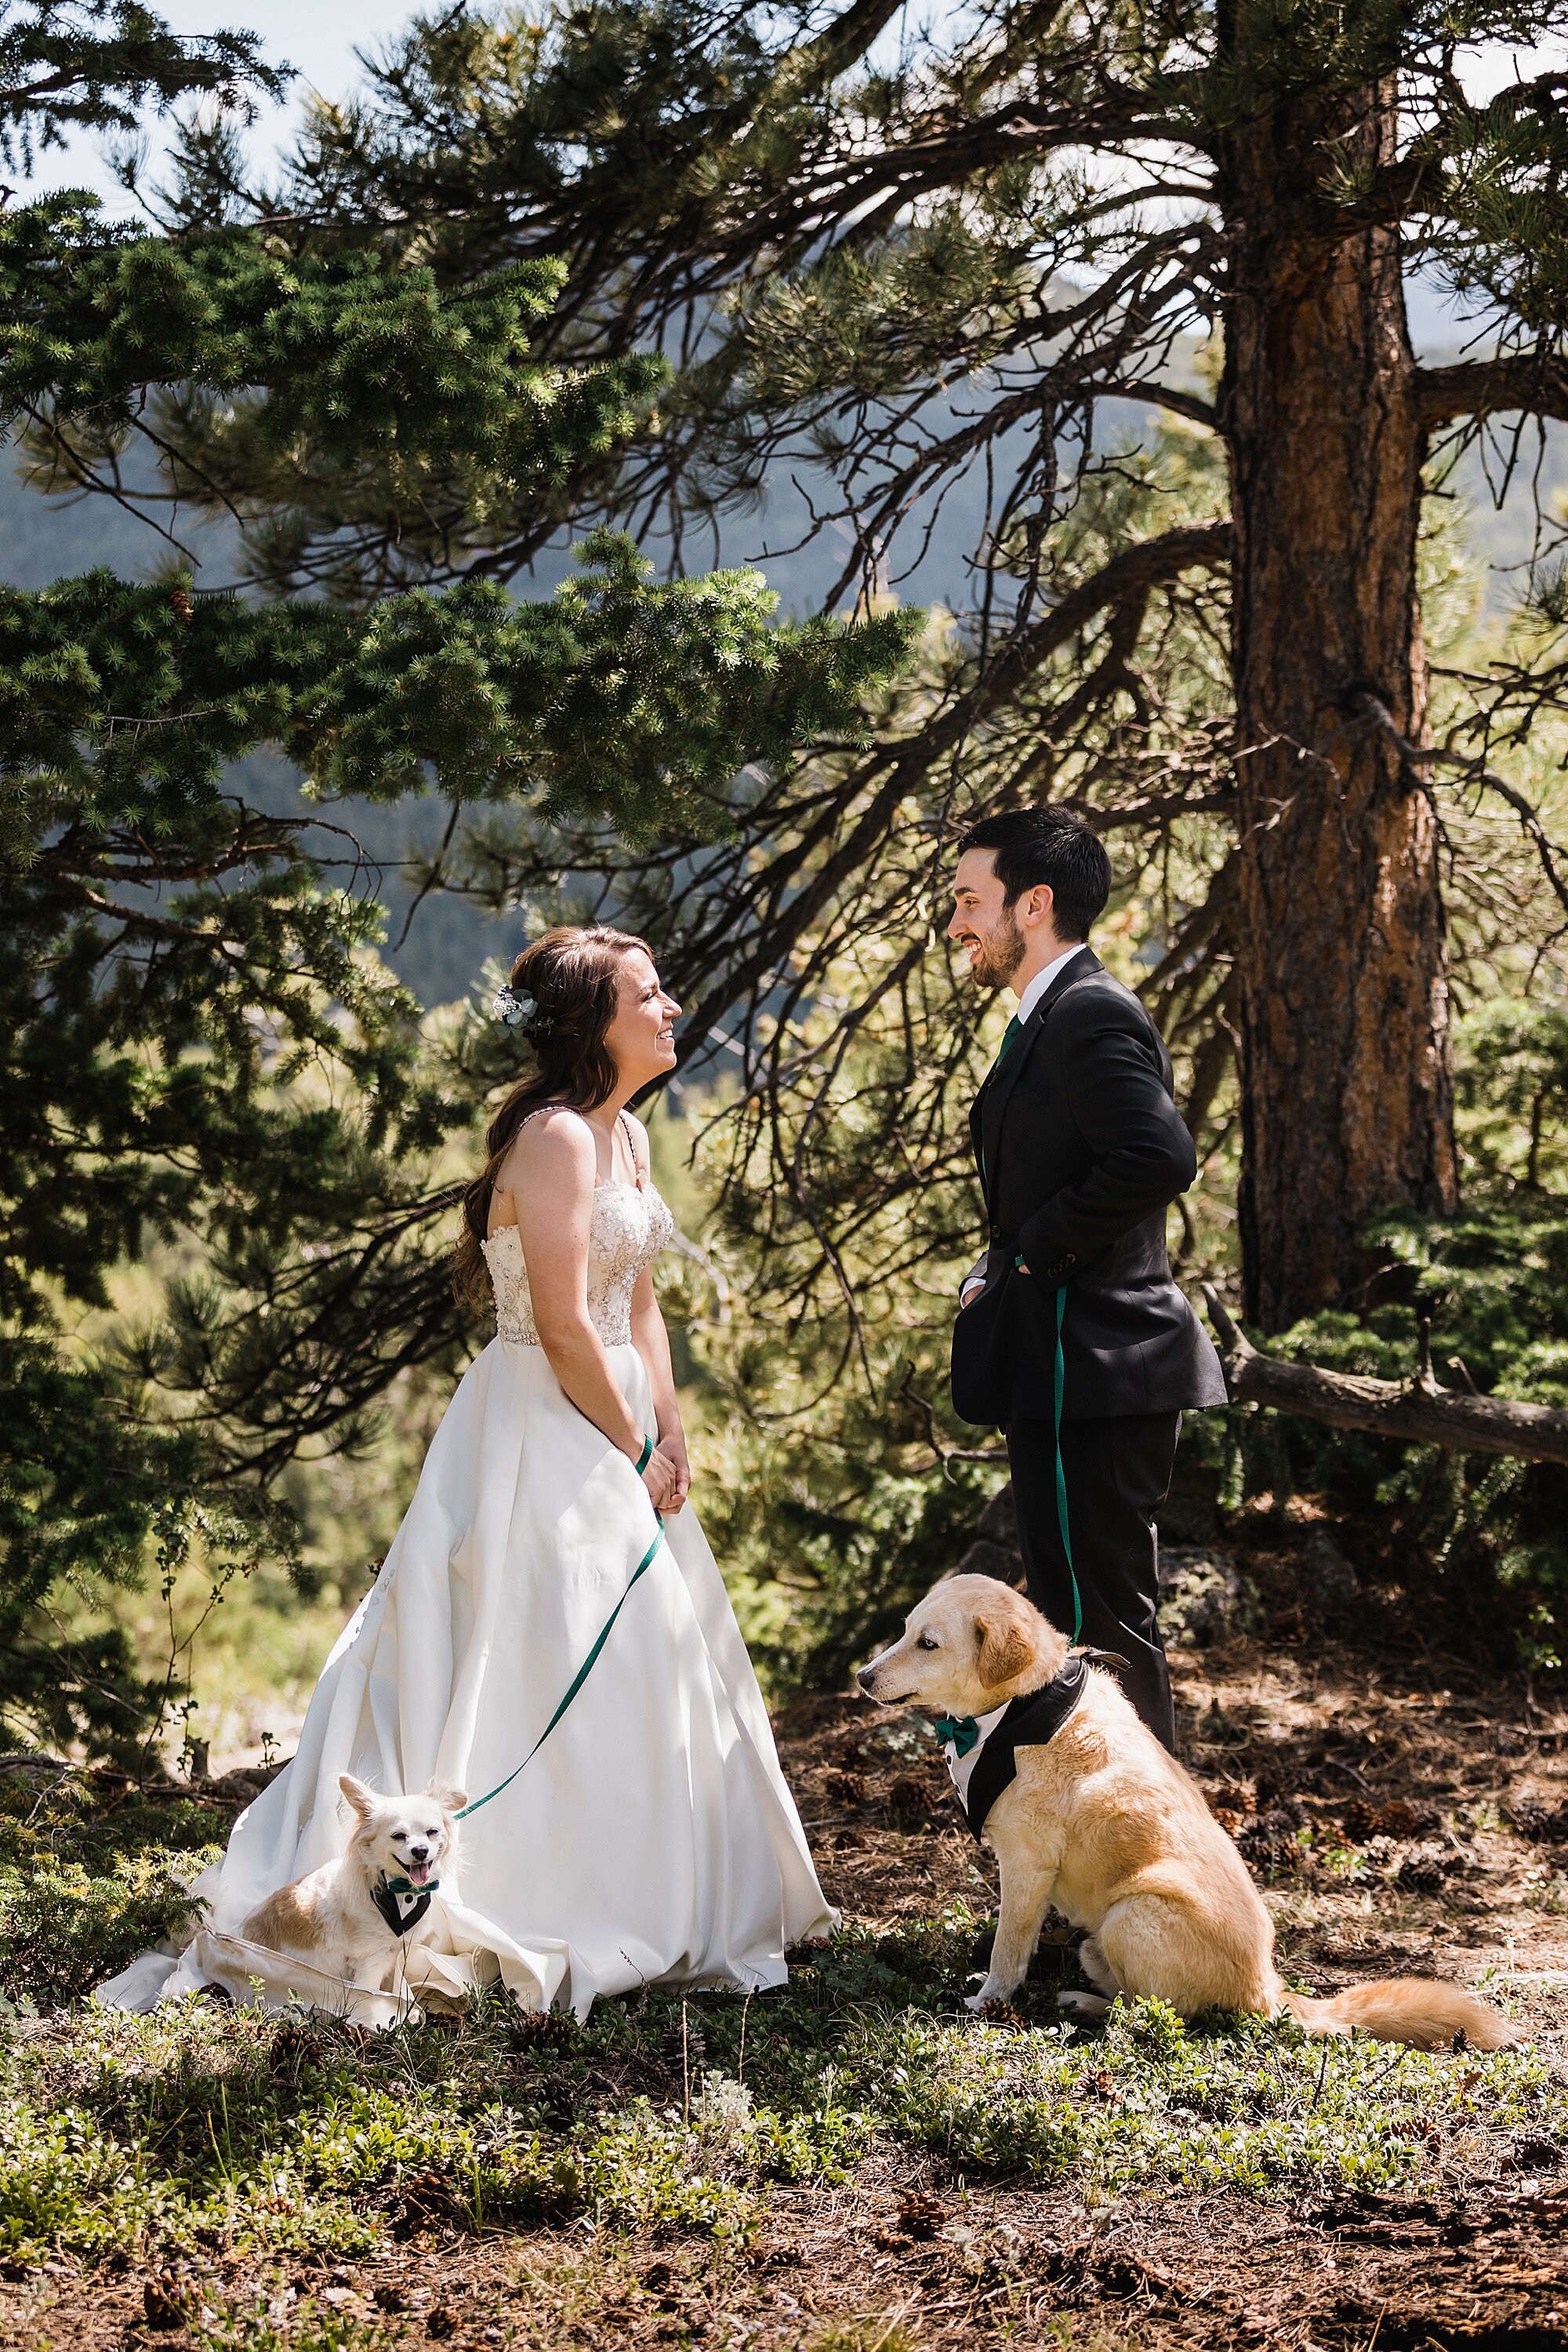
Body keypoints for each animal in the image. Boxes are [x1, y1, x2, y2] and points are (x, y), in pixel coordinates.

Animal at [241, 1769, 465, 1994]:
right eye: (398, 1836)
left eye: (433, 1832)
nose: (420, 1850)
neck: (399, 1893)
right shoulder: (372, 1961)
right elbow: (371, 1994)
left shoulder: (398, 1955)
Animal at [865, 1581, 1514, 2060]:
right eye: (904, 1630)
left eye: (928, 1644)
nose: (863, 1676)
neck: (1020, 1709)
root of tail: (1267, 1992)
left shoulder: (1026, 1867)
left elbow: (1008, 1950)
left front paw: (987, 2002)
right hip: (1101, 1939)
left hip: (1132, 1915)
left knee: (1153, 2012)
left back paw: (1083, 2006)